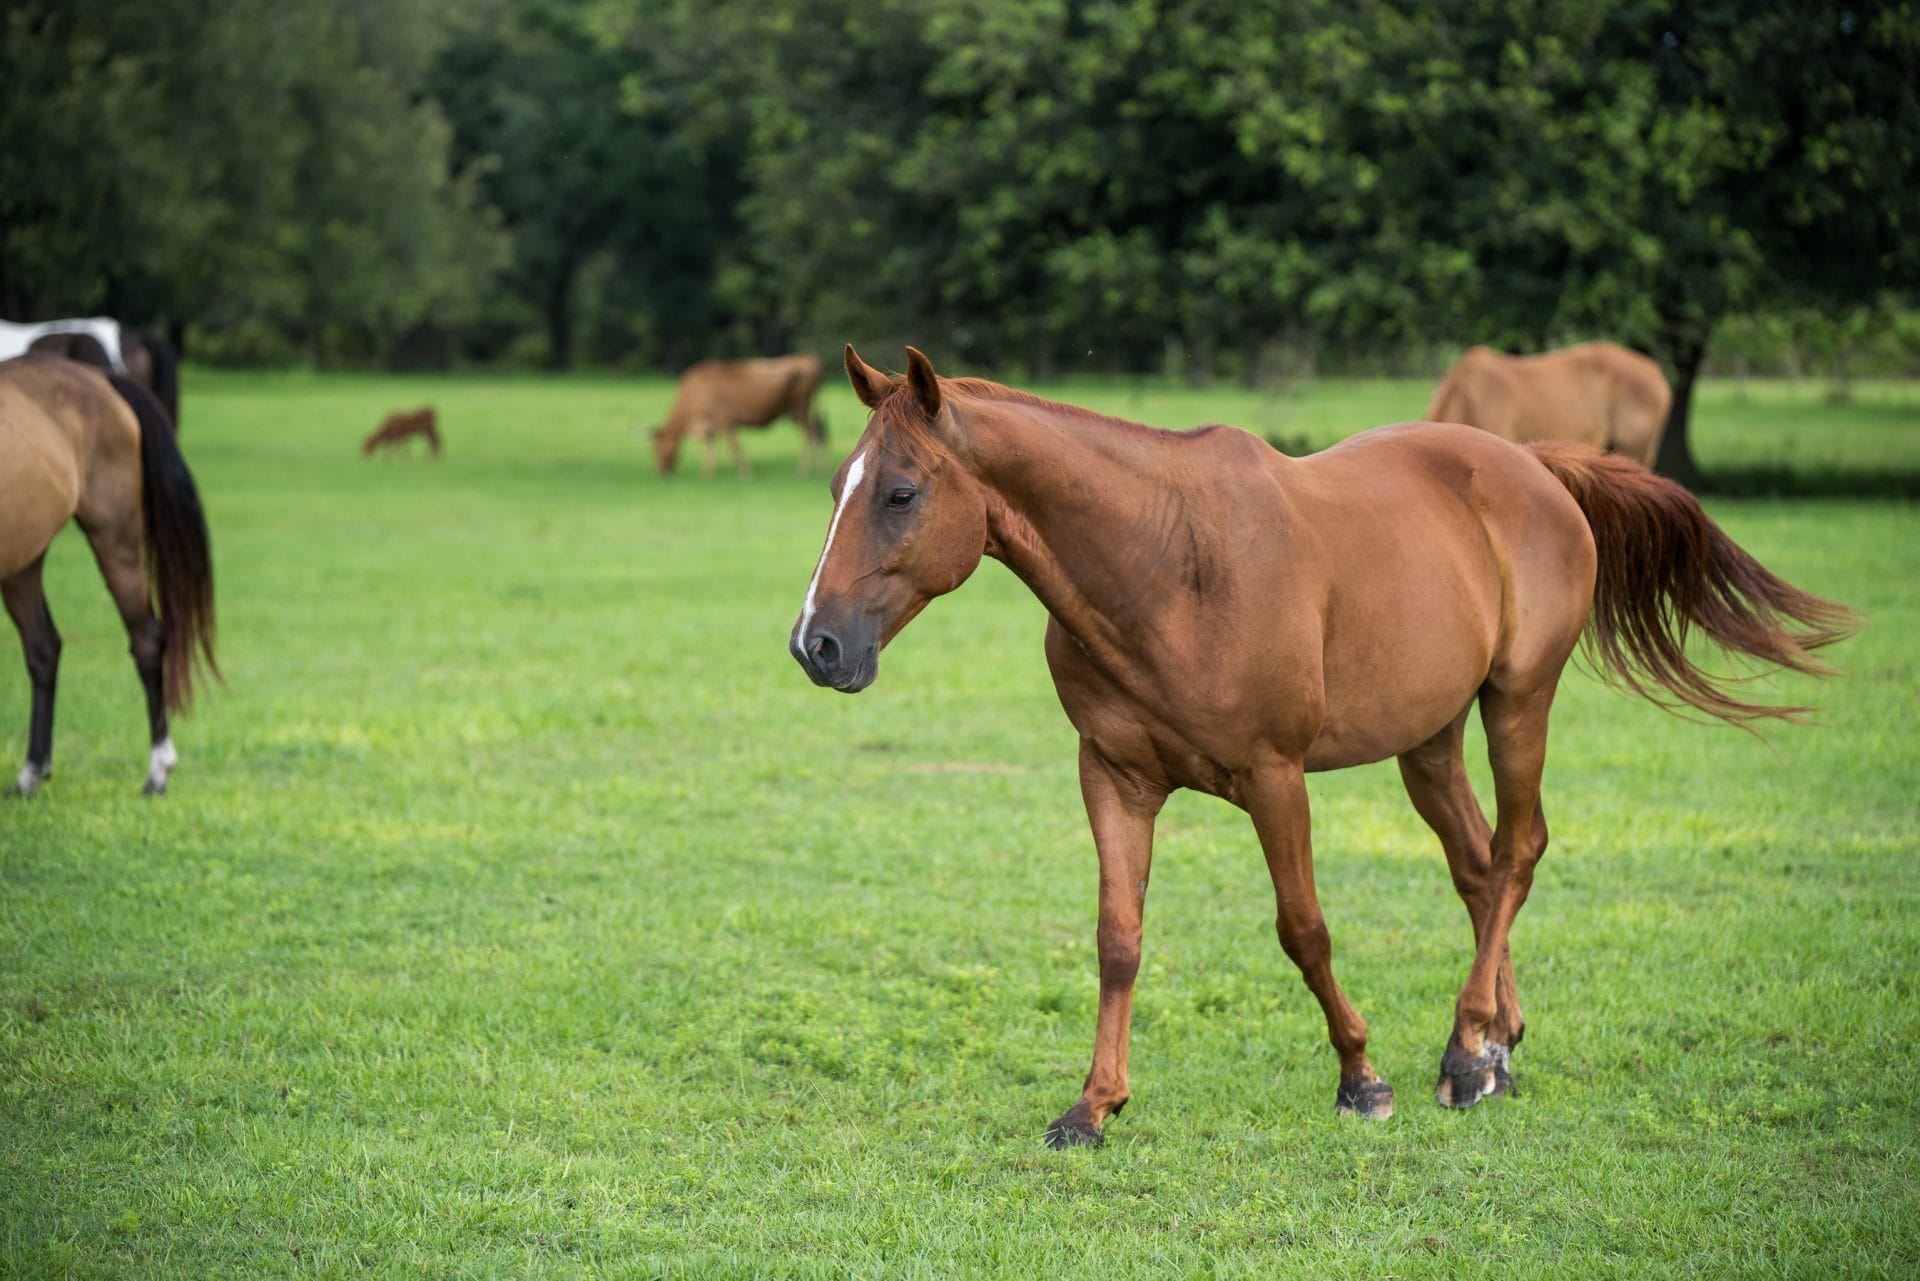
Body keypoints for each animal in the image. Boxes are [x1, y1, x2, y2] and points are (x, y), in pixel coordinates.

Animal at [1, 355, 218, 796]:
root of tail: (99, 378)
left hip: (117, 542)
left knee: (147, 642)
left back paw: (157, 771)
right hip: (23, 556)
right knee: (43, 648)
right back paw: (32, 773)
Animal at [651, 354, 826, 478]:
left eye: (658, 447)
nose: (662, 472)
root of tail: (808, 359)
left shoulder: (725, 419)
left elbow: (734, 447)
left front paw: (745, 473)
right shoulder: (710, 424)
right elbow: (711, 447)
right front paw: (706, 473)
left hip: (800, 409)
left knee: (810, 436)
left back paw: (803, 469)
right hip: (798, 412)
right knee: (818, 434)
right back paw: (819, 467)